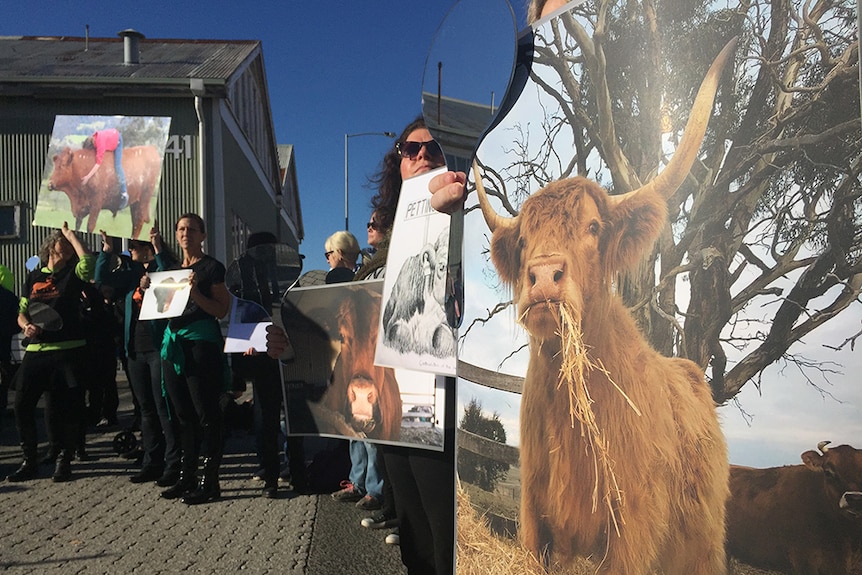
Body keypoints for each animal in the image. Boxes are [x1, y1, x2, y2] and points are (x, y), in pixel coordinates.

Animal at [476, 39, 740, 572]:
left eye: (593, 227)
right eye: (525, 240)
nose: (543, 277)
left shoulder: (632, 529)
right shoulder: (533, 516)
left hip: (703, 547)